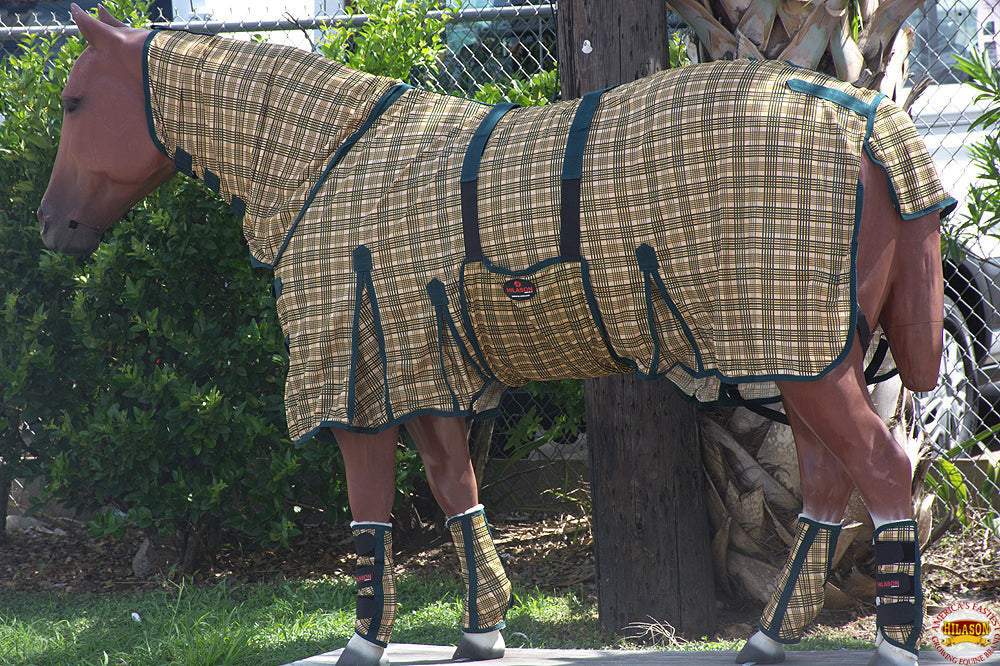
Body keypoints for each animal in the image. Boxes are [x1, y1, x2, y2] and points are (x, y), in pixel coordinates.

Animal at [39, 6, 956, 665]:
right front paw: (482, 627)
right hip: (804, 354)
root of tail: (871, 121)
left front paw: (366, 638)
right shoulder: (420, 372)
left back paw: (893, 641)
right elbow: (455, 488)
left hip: (804, 358)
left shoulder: (359, 376)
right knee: (829, 484)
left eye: (76, 101)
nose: (53, 227)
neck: (325, 161)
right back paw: (769, 634)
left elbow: (372, 507)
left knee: (881, 469)